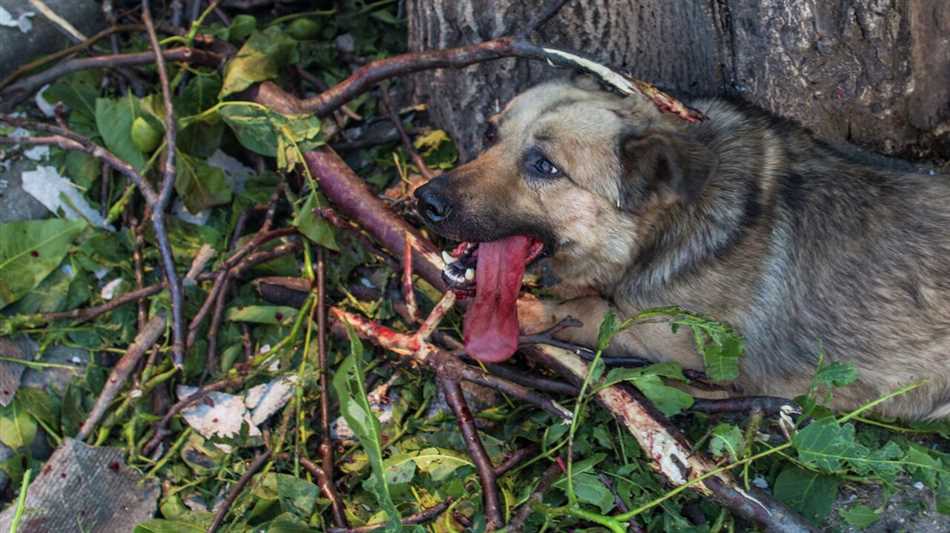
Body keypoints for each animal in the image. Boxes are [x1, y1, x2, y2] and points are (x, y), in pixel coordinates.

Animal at [414, 77, 950, 422]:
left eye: (545, 166)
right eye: (490, 133)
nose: (426, 201)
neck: (663, 227)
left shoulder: (687, 348)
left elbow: (595, 314)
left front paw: (532, 310)